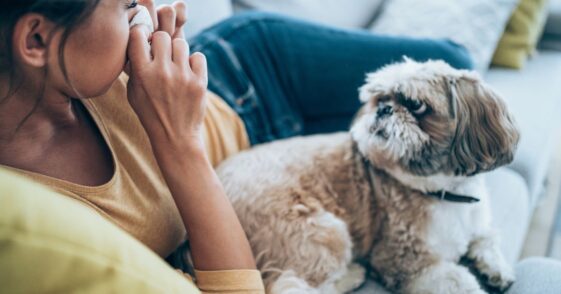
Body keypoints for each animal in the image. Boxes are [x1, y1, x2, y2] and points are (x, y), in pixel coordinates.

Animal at [217, 58, 520, 292]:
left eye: (416, 105)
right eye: (380, 99)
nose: (384, 109)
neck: (445, 193)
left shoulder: (478, 222)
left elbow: (487, 239)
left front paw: (498, 269)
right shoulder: (402, 259)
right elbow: (458, 281)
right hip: (323, 231)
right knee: (295, 286)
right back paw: (352, 275)